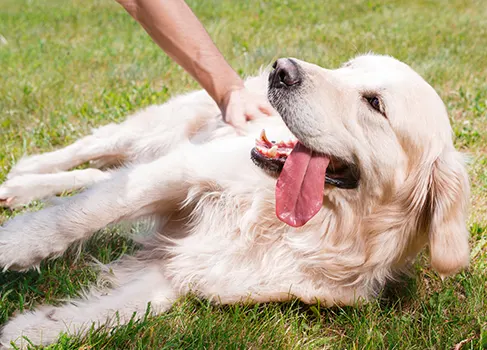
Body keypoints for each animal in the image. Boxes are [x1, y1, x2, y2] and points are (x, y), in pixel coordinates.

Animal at [0, 53, 472, 348]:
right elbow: (71, 219)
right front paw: (11, 248)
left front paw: (30, 330)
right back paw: (24, 175)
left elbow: (116, 311)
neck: (304, 227)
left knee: (98, 173)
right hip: (160, 128)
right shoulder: (183, 169)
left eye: (375, 103)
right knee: (89, 151)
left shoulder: (187, 267)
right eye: (347, 67)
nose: (282, 70)